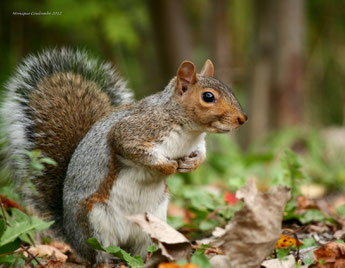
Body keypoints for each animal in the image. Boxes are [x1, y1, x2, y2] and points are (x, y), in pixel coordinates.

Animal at [1, 48, 246, 266]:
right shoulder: (133, 131)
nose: (242, 119)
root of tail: (72, 238)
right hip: (96, 223)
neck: (188, 130)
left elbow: (201, 153)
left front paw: (191, 164)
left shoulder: (196, 143)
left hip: (153, 223)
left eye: (231, 90)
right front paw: (167, 167)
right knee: (99, 254)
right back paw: (108, 261)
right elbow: (132, 149)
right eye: (208, 97)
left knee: (139, 249)